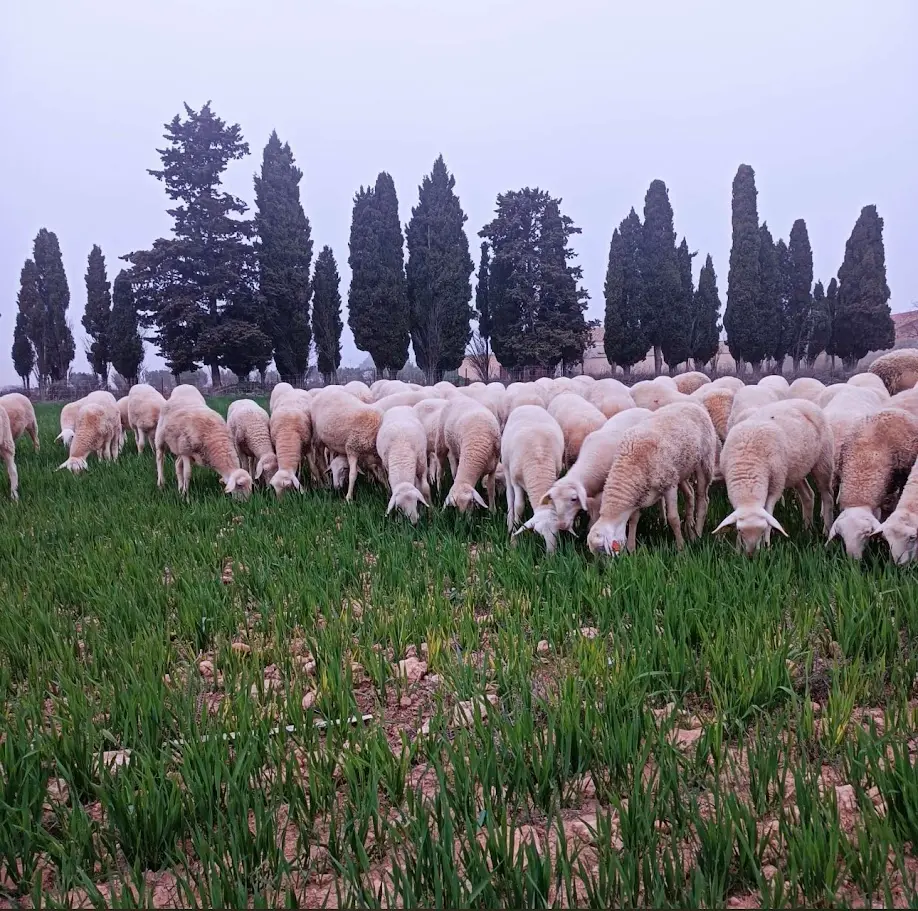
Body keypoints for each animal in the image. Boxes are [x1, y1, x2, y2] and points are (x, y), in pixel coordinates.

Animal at [501, 406, 565, 551]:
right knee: (510, 496)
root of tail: (528, 405)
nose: (551, 554)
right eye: (538, 532)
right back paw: (509, 522)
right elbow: (519, 506)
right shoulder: (516, 481)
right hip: (507, 468)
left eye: (557, 532)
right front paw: (513, 540)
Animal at [587, 402, 717, 555]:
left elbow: (673, 518)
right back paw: (690, 529)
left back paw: (698, 533)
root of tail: (692, 403)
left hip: (705, 461)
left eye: (602, 549)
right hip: (681, 470)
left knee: (703, 499)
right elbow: (634, 519)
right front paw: (631, 549)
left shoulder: (669, 485)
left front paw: (681, 549)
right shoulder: (639, 493)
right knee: (690, 493)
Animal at [714, 399, 834, 554]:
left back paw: (826, 530)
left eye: (762, 529)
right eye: (740, 530)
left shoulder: (776, 483)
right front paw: (738, 548)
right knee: (808, 495)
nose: (751, 554)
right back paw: (807, 528)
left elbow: (768, 510)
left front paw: (767, 545)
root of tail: (804, 401)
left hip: (823, 462)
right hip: (795, 470)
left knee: (827, 496)